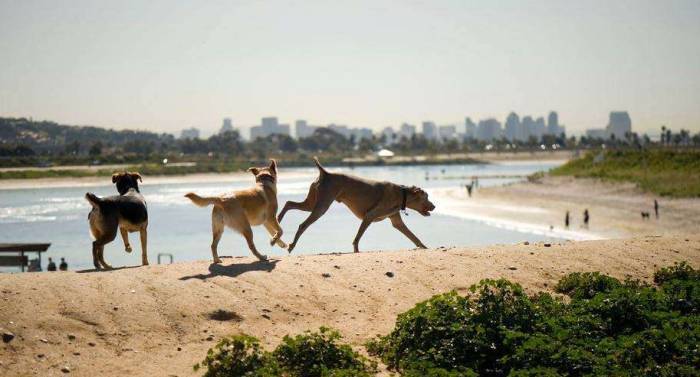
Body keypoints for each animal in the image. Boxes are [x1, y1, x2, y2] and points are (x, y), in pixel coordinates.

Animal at [278, 156, 432, 253]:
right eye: (426, 197)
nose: (434, 206)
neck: (402, 193)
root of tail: (325, 173)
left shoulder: (396, 221)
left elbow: (413, 236)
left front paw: (424, 247)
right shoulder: (369, 216)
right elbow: (357, 238)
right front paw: (356, 250)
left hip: (312, 202)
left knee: (289, 203)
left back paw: (278, 221)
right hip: (321, 206)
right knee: (302, 225)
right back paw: (291, 245)